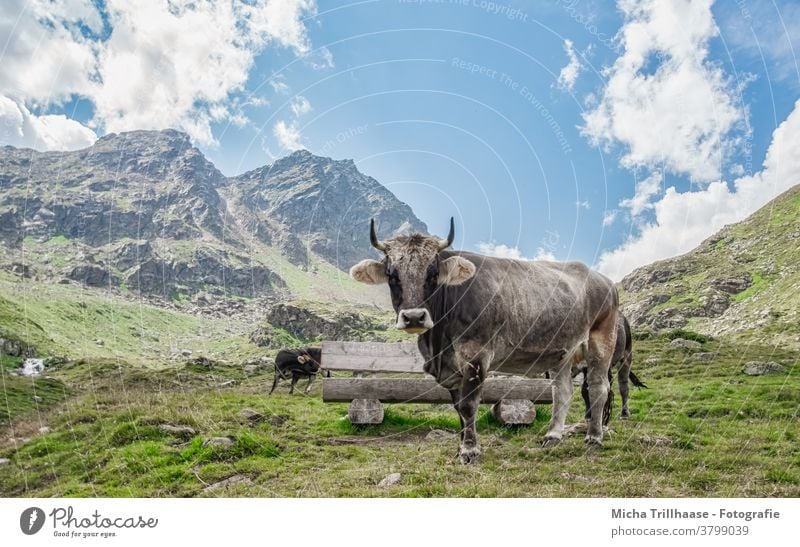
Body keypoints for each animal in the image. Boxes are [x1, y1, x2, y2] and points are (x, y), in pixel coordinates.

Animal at [348, 217, 620, 462]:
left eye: (433, 274)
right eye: (391, 275)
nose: (414, 317)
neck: (438, 344)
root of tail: (603, 279)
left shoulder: (475, 356)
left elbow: (468, 405)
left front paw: (470, 450)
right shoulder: (451, 368)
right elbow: (458, 408)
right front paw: (461, 447)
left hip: (601, 340)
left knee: (598, 388)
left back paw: (594, 437)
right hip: (561, 352)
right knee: (562, 392)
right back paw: (552, 436)